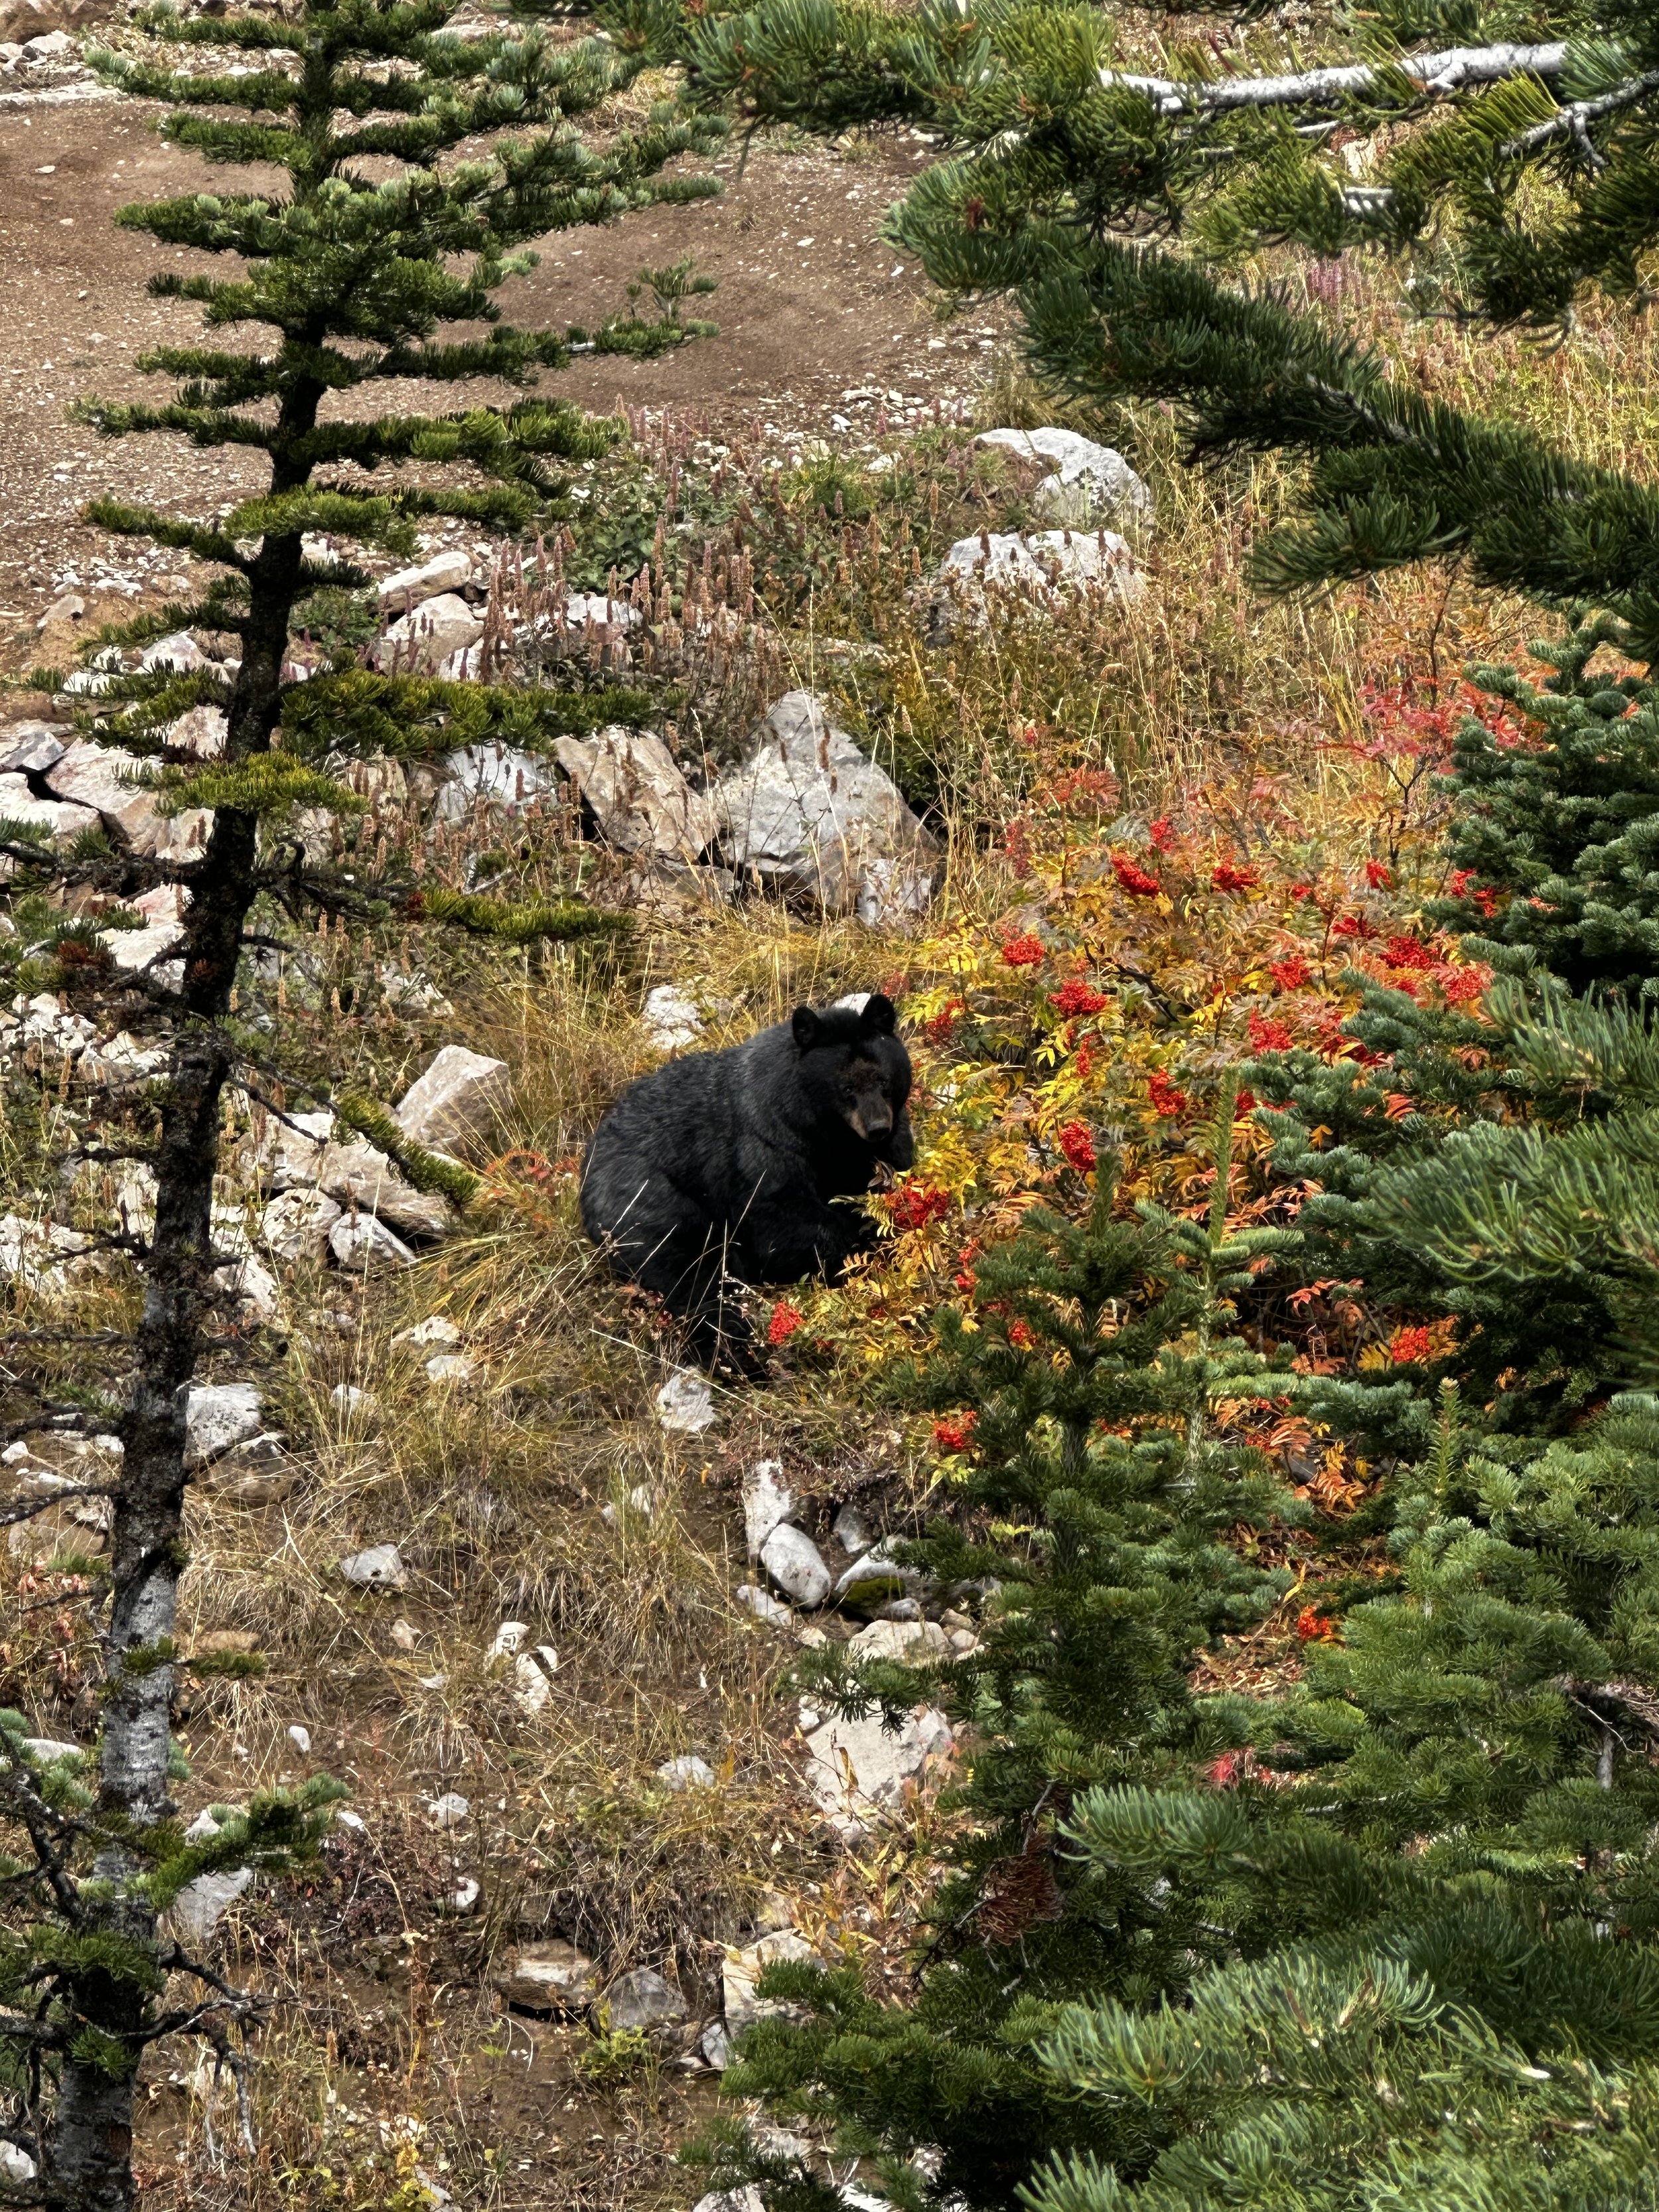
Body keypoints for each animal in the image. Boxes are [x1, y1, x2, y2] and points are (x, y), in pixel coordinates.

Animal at [580, 992, 913, 1372]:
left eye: (884, 1080)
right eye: (846, 1089)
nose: (877, 1127)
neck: (828, 1138)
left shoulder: (874, 1152)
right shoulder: (764, 1150)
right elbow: (781, 1229)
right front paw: (864, 1243)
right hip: (650, 1207)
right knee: (692, 1280)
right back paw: (740, 1356)